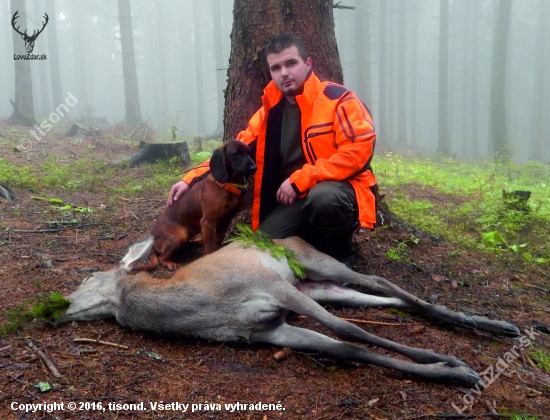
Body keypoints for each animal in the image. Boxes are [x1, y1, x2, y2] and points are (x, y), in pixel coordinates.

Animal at [61, 235, 520, 386]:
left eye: (86, 278)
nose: (60, 306)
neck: (206, 305)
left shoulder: (274, 287)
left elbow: (350, 332)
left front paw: (450, 363)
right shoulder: (267, 330)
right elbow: (346, 347)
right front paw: (448, 372)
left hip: (312, 264)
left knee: (381, 282)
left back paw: (493, 325)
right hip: (319, 286)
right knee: (387, 298)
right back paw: (481, 323)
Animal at [135, 140, 258, 272]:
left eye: (249, 152)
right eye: (235, 154)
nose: (254, 168)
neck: (228, 187)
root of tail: (153, 241)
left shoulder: (226, 220)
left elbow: (218, 239)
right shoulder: (207, 222)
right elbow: (209, 248)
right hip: (181, 234)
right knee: (161, 258)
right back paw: (171, 263)